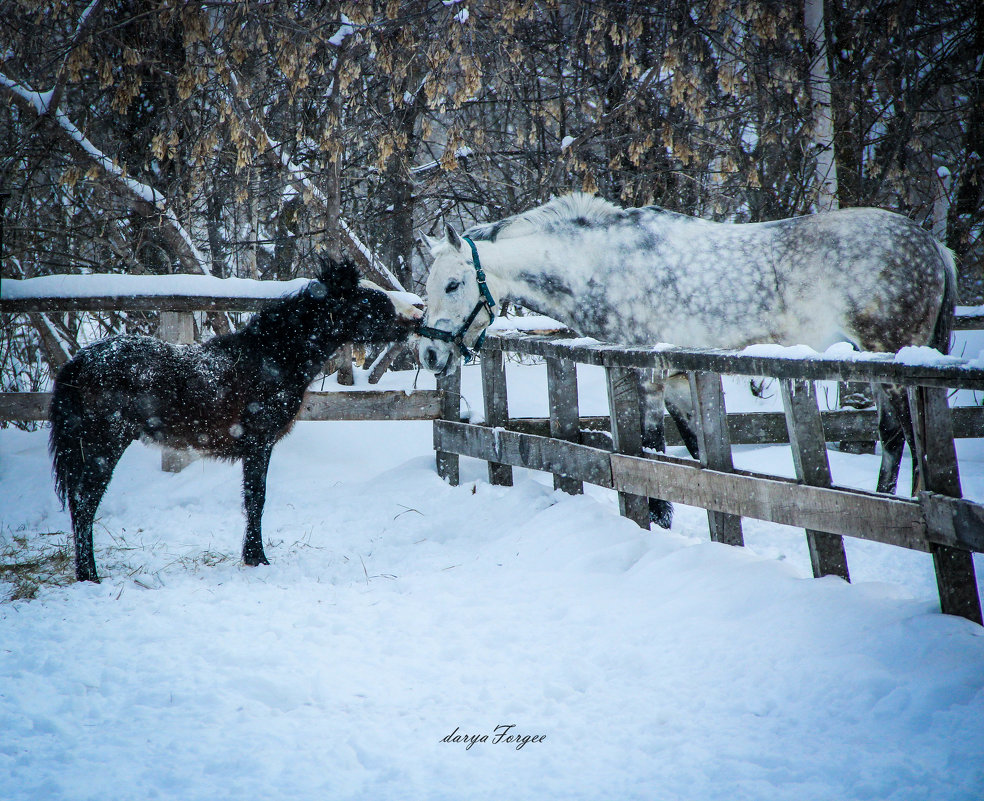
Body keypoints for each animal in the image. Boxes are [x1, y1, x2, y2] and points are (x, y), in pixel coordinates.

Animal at [51, 256, 412, 580]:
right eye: (371, 302)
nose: (412, 322)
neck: (270, 359)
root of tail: (79, 361)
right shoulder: (259, 444)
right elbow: (256, 498)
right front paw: (257, 558)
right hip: (104, 445)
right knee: (84, 503)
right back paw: (90, 576)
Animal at [416, 194, 952, 528]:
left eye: (453, 284)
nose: (429, 352)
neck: (604, 266)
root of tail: (932, 246)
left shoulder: (647, 378)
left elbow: (651, 453)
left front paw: (656, 520)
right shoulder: (677, 382)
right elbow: (699, 457)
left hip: (895, 368)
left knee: (909, 440)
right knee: (892, 437)